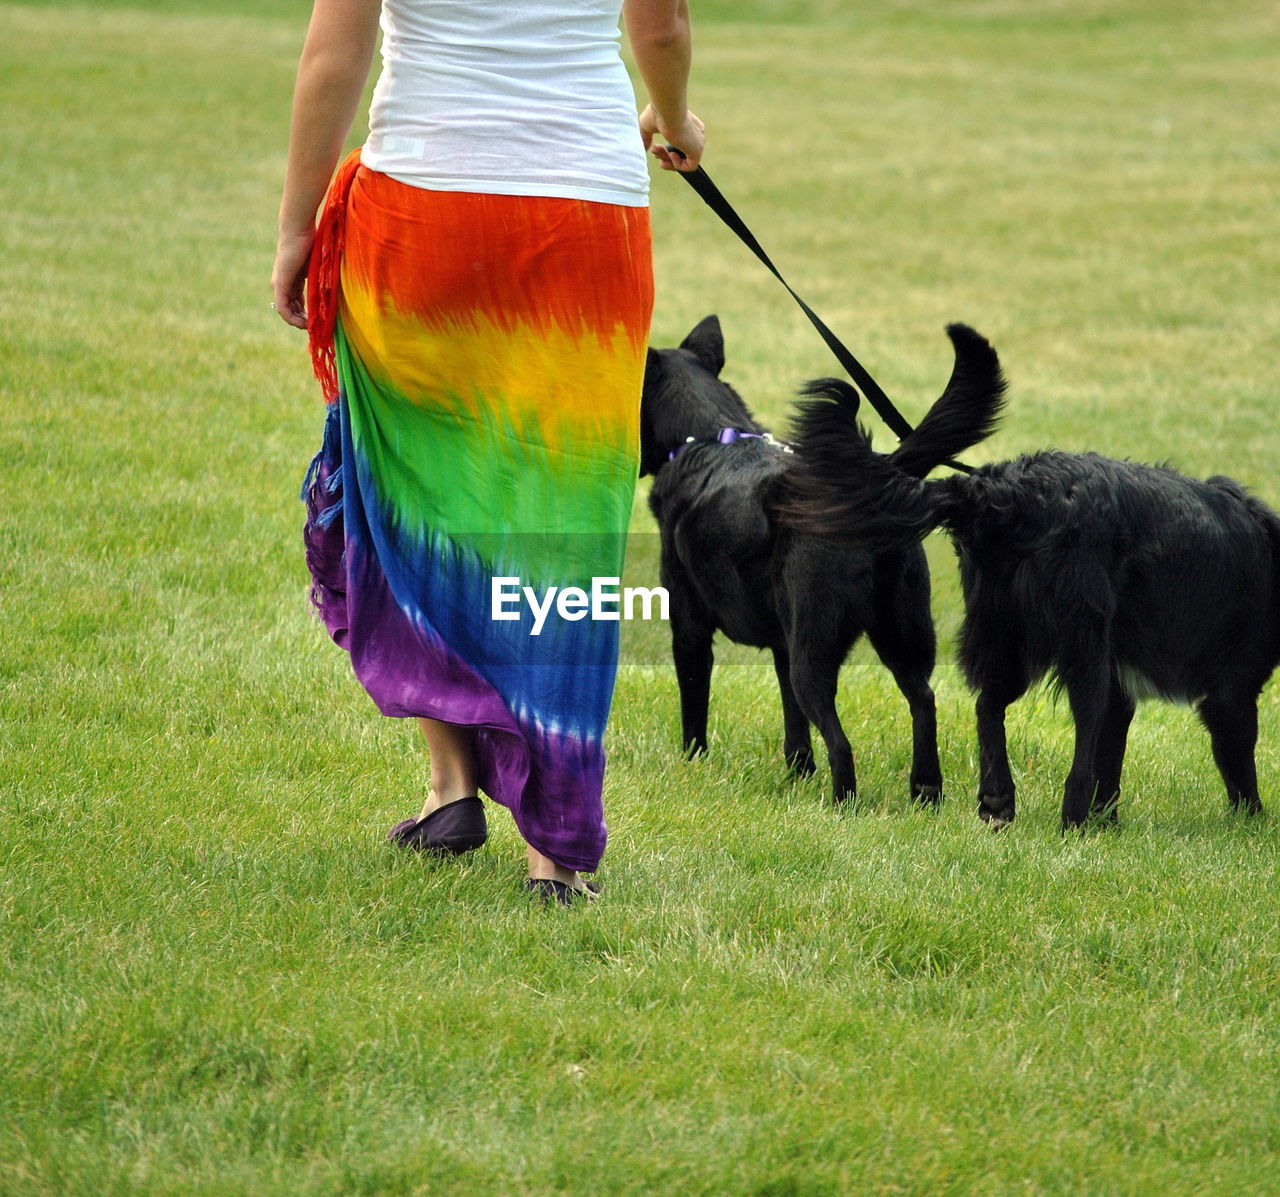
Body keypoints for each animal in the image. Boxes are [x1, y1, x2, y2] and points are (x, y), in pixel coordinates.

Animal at [640, 318, 1008, 803]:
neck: (711, 436)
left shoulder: (690, 628)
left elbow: (694, 708)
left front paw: (693, 764)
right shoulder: (782, 643)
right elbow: (795, 727)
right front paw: (798, 773)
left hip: (814, 650)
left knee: (840, 740)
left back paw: (842, 803)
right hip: (901, 633)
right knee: (923, 702)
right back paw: (924, 792)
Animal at [788, 332, 1280, 829]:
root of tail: (1004, 493)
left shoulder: (1126, 687)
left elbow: (1111, 757)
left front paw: (1109, 824)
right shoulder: (1231, 690)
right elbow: (1237, 768)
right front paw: (1253, 825)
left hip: (1005, 631)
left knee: (988, 705)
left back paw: (998, 801)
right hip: (1078, 643)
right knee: (1076, 744)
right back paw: (1072, 821)